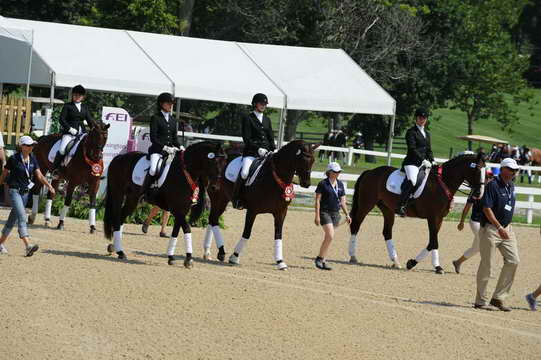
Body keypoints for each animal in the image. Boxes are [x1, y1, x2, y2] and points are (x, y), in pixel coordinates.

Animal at [194, 140, 318, 270]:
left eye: (313, 160)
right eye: (303, 159)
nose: (306, 183)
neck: (273, 178)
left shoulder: (281, 212)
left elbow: (278, 235)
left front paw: (280, 262)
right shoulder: (252, 211)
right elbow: (247, 233)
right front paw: (235, 257)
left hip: (223, 200)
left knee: (212, 219)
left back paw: (208, 252)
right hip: (218, 197)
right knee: (214, 219)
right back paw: (219, 252)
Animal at [348, 152, 488, 272]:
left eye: (486, 172)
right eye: (477, 170)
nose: (479, 194)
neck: (443, 183)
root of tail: (370, 172)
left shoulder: (439, 218)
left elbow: (432, 242)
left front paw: (421, 264)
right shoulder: (432, 217)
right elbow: (434, 241)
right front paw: (427, 265)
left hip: (387, 209)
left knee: (387, 232)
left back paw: (396, 262)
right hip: (366, 204)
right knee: (355, 225)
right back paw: (353, 256)